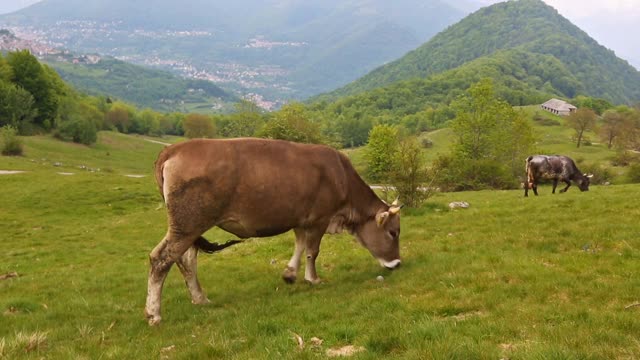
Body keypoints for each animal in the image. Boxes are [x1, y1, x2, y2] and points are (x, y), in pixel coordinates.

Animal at [148, 139, 402, 324]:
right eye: (393, 233)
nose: (397, 264)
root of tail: (175, 148)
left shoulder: (300, 219)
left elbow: (300, 245)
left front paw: (290, 274)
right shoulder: (320, 218)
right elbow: (312, 251)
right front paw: (313, 279)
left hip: (187, 227)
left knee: (186, 260)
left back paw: (200, 298)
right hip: (188, 224)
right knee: (161, 259)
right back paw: (154, 313)